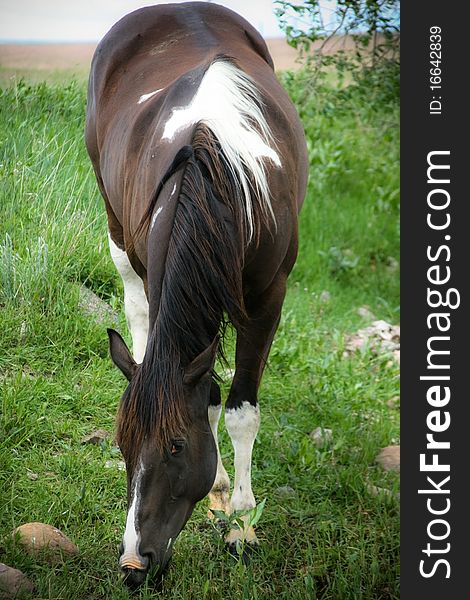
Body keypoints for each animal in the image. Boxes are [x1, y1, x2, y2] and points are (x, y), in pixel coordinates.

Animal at [85, 1, 308, 592]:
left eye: (176, 447)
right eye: (122, 446)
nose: (134, 565)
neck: (220, 183)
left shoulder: (268, 297)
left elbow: (238, 409)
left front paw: (243, 526)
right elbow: (203, 391)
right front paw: (222, 498)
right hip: (117, 227)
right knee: (136, 312)